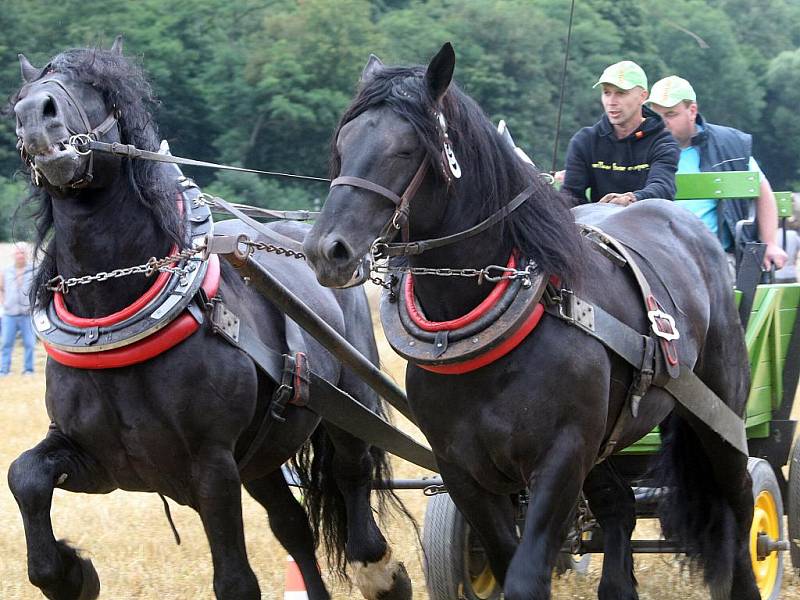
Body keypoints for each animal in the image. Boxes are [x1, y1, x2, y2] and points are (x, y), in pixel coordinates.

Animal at [9, 41, 412, 600]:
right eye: (24, 93)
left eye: (97, 89)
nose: (34, 115)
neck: (113, 313)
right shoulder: (103, 460)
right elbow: (24, 475)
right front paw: (70, 573)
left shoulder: (212, 466)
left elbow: (236, 581)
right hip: (262, 458)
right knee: (294, 527)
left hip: (348, 407)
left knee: (354, 489)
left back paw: (381, 570)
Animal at [304, 43, 760, 600]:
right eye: (344, 143)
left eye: (407, 150)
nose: (327, 250)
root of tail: (693, 232)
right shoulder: (462, 470)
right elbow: (504, 559)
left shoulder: (562, 457)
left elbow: (524, 575)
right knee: (619, 507)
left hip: (720, 415)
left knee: (738, 504)